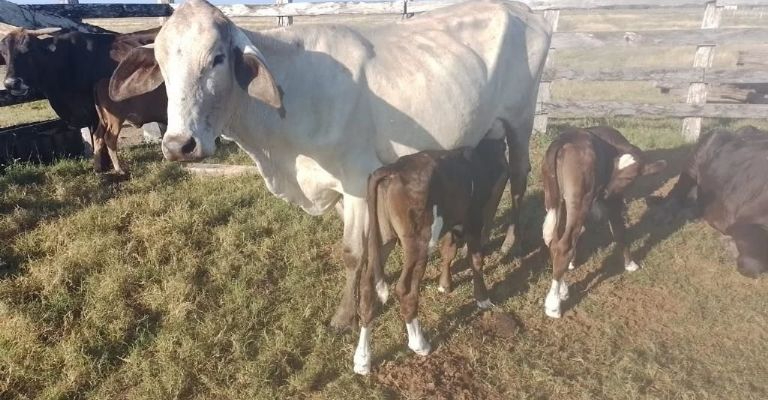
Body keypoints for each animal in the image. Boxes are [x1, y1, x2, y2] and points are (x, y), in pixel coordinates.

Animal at [356, 138, 510, 376]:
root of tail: (393, 169)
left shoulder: (453, 221)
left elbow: (449, 250)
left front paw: (444, 285)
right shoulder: (474, 219)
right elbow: (476, 260)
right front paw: (482, 298)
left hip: (381, 238)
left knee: (367, 287)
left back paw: (362, 359)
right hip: (420, 240)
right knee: (406, 289)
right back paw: (419, 343)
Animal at [540, 126, 664, 318]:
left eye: (629, 176)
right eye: (613, 169)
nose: (605, 192)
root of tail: (565, 139)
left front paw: (572, 264)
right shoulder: (614, 201)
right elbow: (620, 232)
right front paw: (631, 264)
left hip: (553, 194)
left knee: (553, 239)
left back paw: (562, 289)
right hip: (581, 196)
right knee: (564, 245)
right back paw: (554, 305)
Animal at [656, 126, 768, 276]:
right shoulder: (744, 222)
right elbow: (754, 264)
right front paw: (730, 245)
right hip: (693, 162)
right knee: (677, 191)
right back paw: (664, 214)